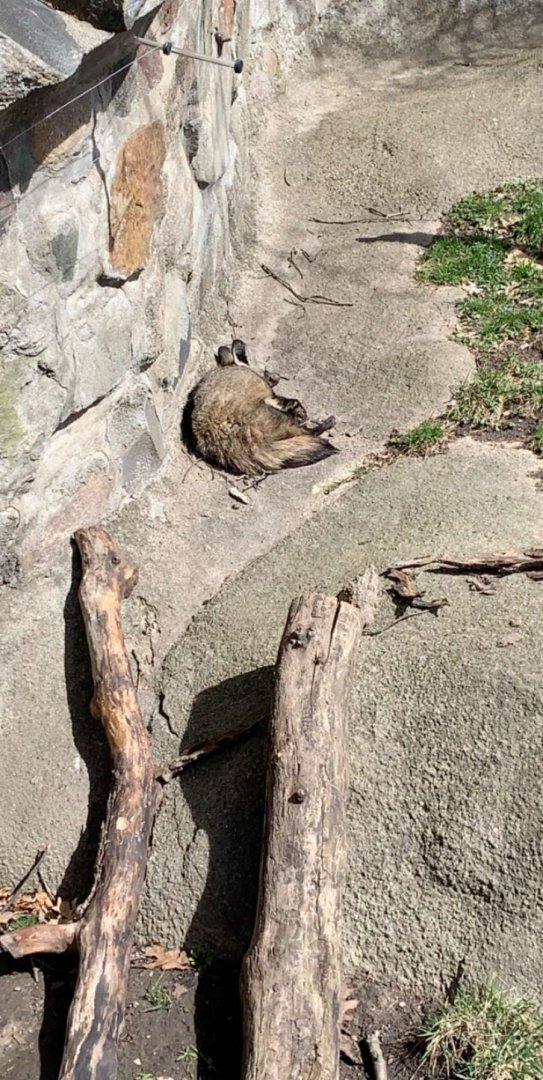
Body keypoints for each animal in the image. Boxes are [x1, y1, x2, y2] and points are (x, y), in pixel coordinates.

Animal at [183, 340, 338, 477]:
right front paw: (301, 413)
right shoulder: (270, 397)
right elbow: (292, 402)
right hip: (278, 418)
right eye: (266, 371)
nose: (277, 377)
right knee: (309, 432)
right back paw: (327, 422)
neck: (229, 366)